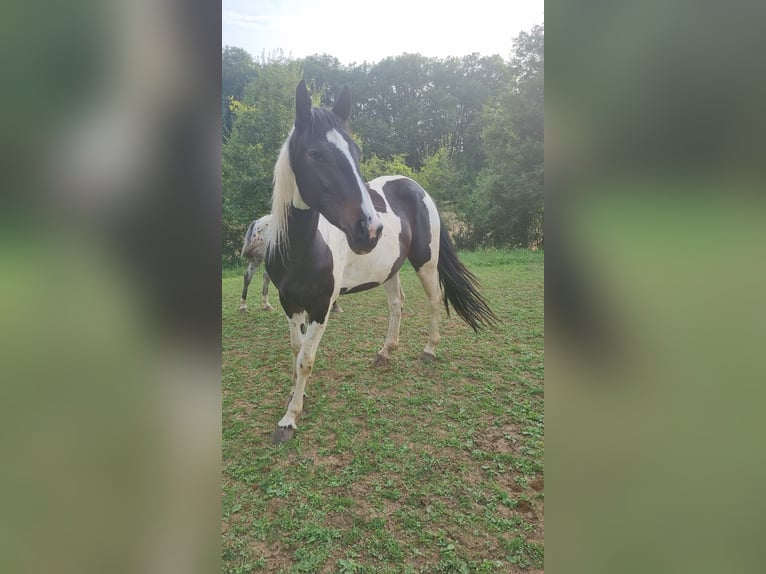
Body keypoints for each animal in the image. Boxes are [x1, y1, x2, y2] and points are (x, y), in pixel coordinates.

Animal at [268, 80, 500, 446]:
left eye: (357, 153)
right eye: (316, 154)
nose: (371, 229)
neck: (302, 247)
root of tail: (417, 187)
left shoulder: (321, 305)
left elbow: (306, 358)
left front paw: (290, 418)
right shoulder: (288, 302)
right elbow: (296, 351)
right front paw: (295, 398)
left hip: (425, 264)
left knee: (435, 300)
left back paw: (429, 350)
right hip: (390, 269)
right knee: (397, 305)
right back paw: (385, 351)